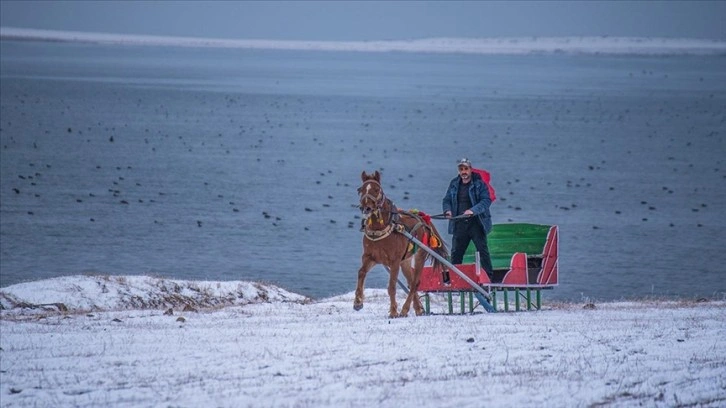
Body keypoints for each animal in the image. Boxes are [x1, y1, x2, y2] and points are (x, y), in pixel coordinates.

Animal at [356, 171, 452, 318]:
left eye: (377, 189)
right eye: (361, 190)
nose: (366, 208)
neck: (381, 229)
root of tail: (423, 218)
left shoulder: (394, 261)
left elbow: (392, 287)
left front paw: (393, 311)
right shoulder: (370, 257)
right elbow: (361, 272)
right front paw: (358, 302)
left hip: (420, 255)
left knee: (415, 283)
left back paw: (405, 309)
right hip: (405, 261)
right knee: (411, 281)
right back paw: (418, 309)